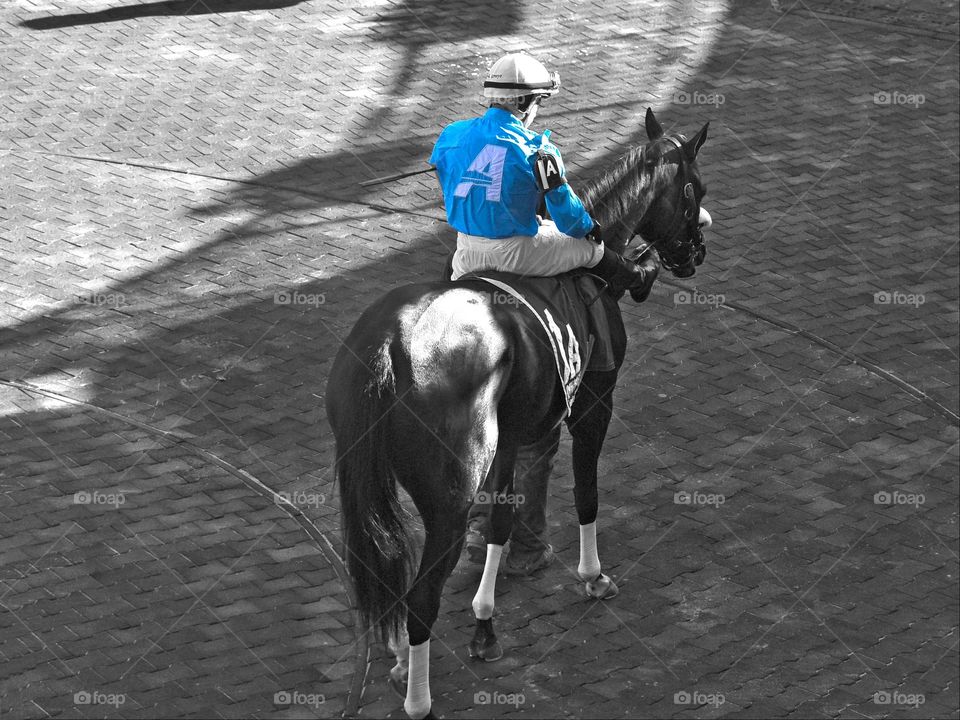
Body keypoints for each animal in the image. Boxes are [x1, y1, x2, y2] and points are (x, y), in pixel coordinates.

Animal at [326, 108, 708, 720]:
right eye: (697, 189)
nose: (695, 252)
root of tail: (389, 341)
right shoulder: (591, 405)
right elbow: (585, 493)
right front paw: (593, 576)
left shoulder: (509, 437)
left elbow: (503, 519)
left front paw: (486, 625)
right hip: (450, 497)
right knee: (421, 596)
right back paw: (418, 699)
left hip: (374, 482)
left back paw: (401, 661)